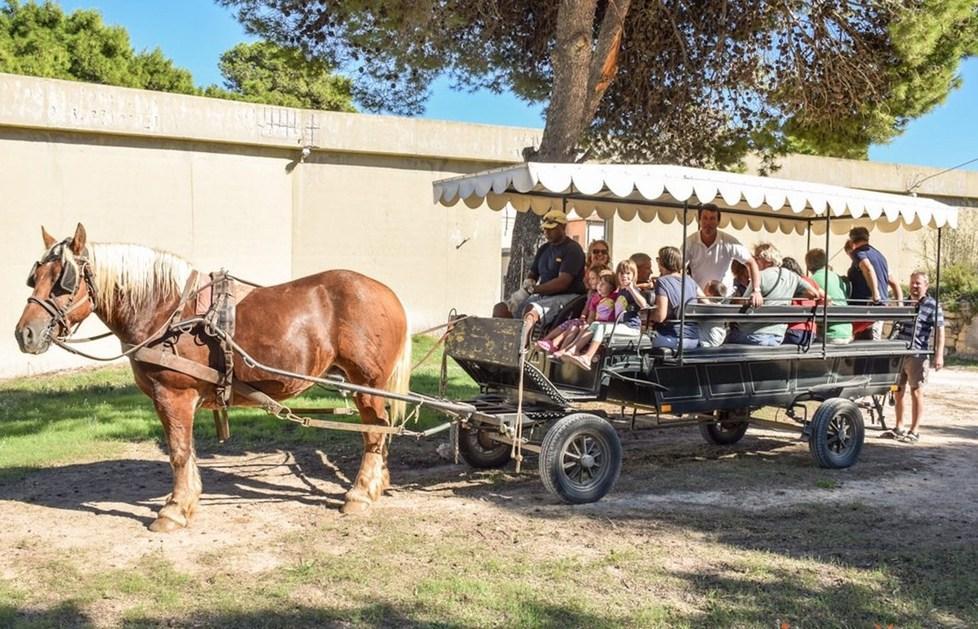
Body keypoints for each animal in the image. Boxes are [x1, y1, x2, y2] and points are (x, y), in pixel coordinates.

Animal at [15, 223, 412, 532]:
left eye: (64, 282)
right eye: (36, 277)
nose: (24, 334)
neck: (168, 313)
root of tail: (388, 294)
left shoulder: (174, 394)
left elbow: (178, 452)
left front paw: (173, 511)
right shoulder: (174, 400)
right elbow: (186, 451)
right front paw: (187, 500)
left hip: (367, 384)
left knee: (374, 432)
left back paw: (360, 492)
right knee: (380, 430)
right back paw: (377, 483)